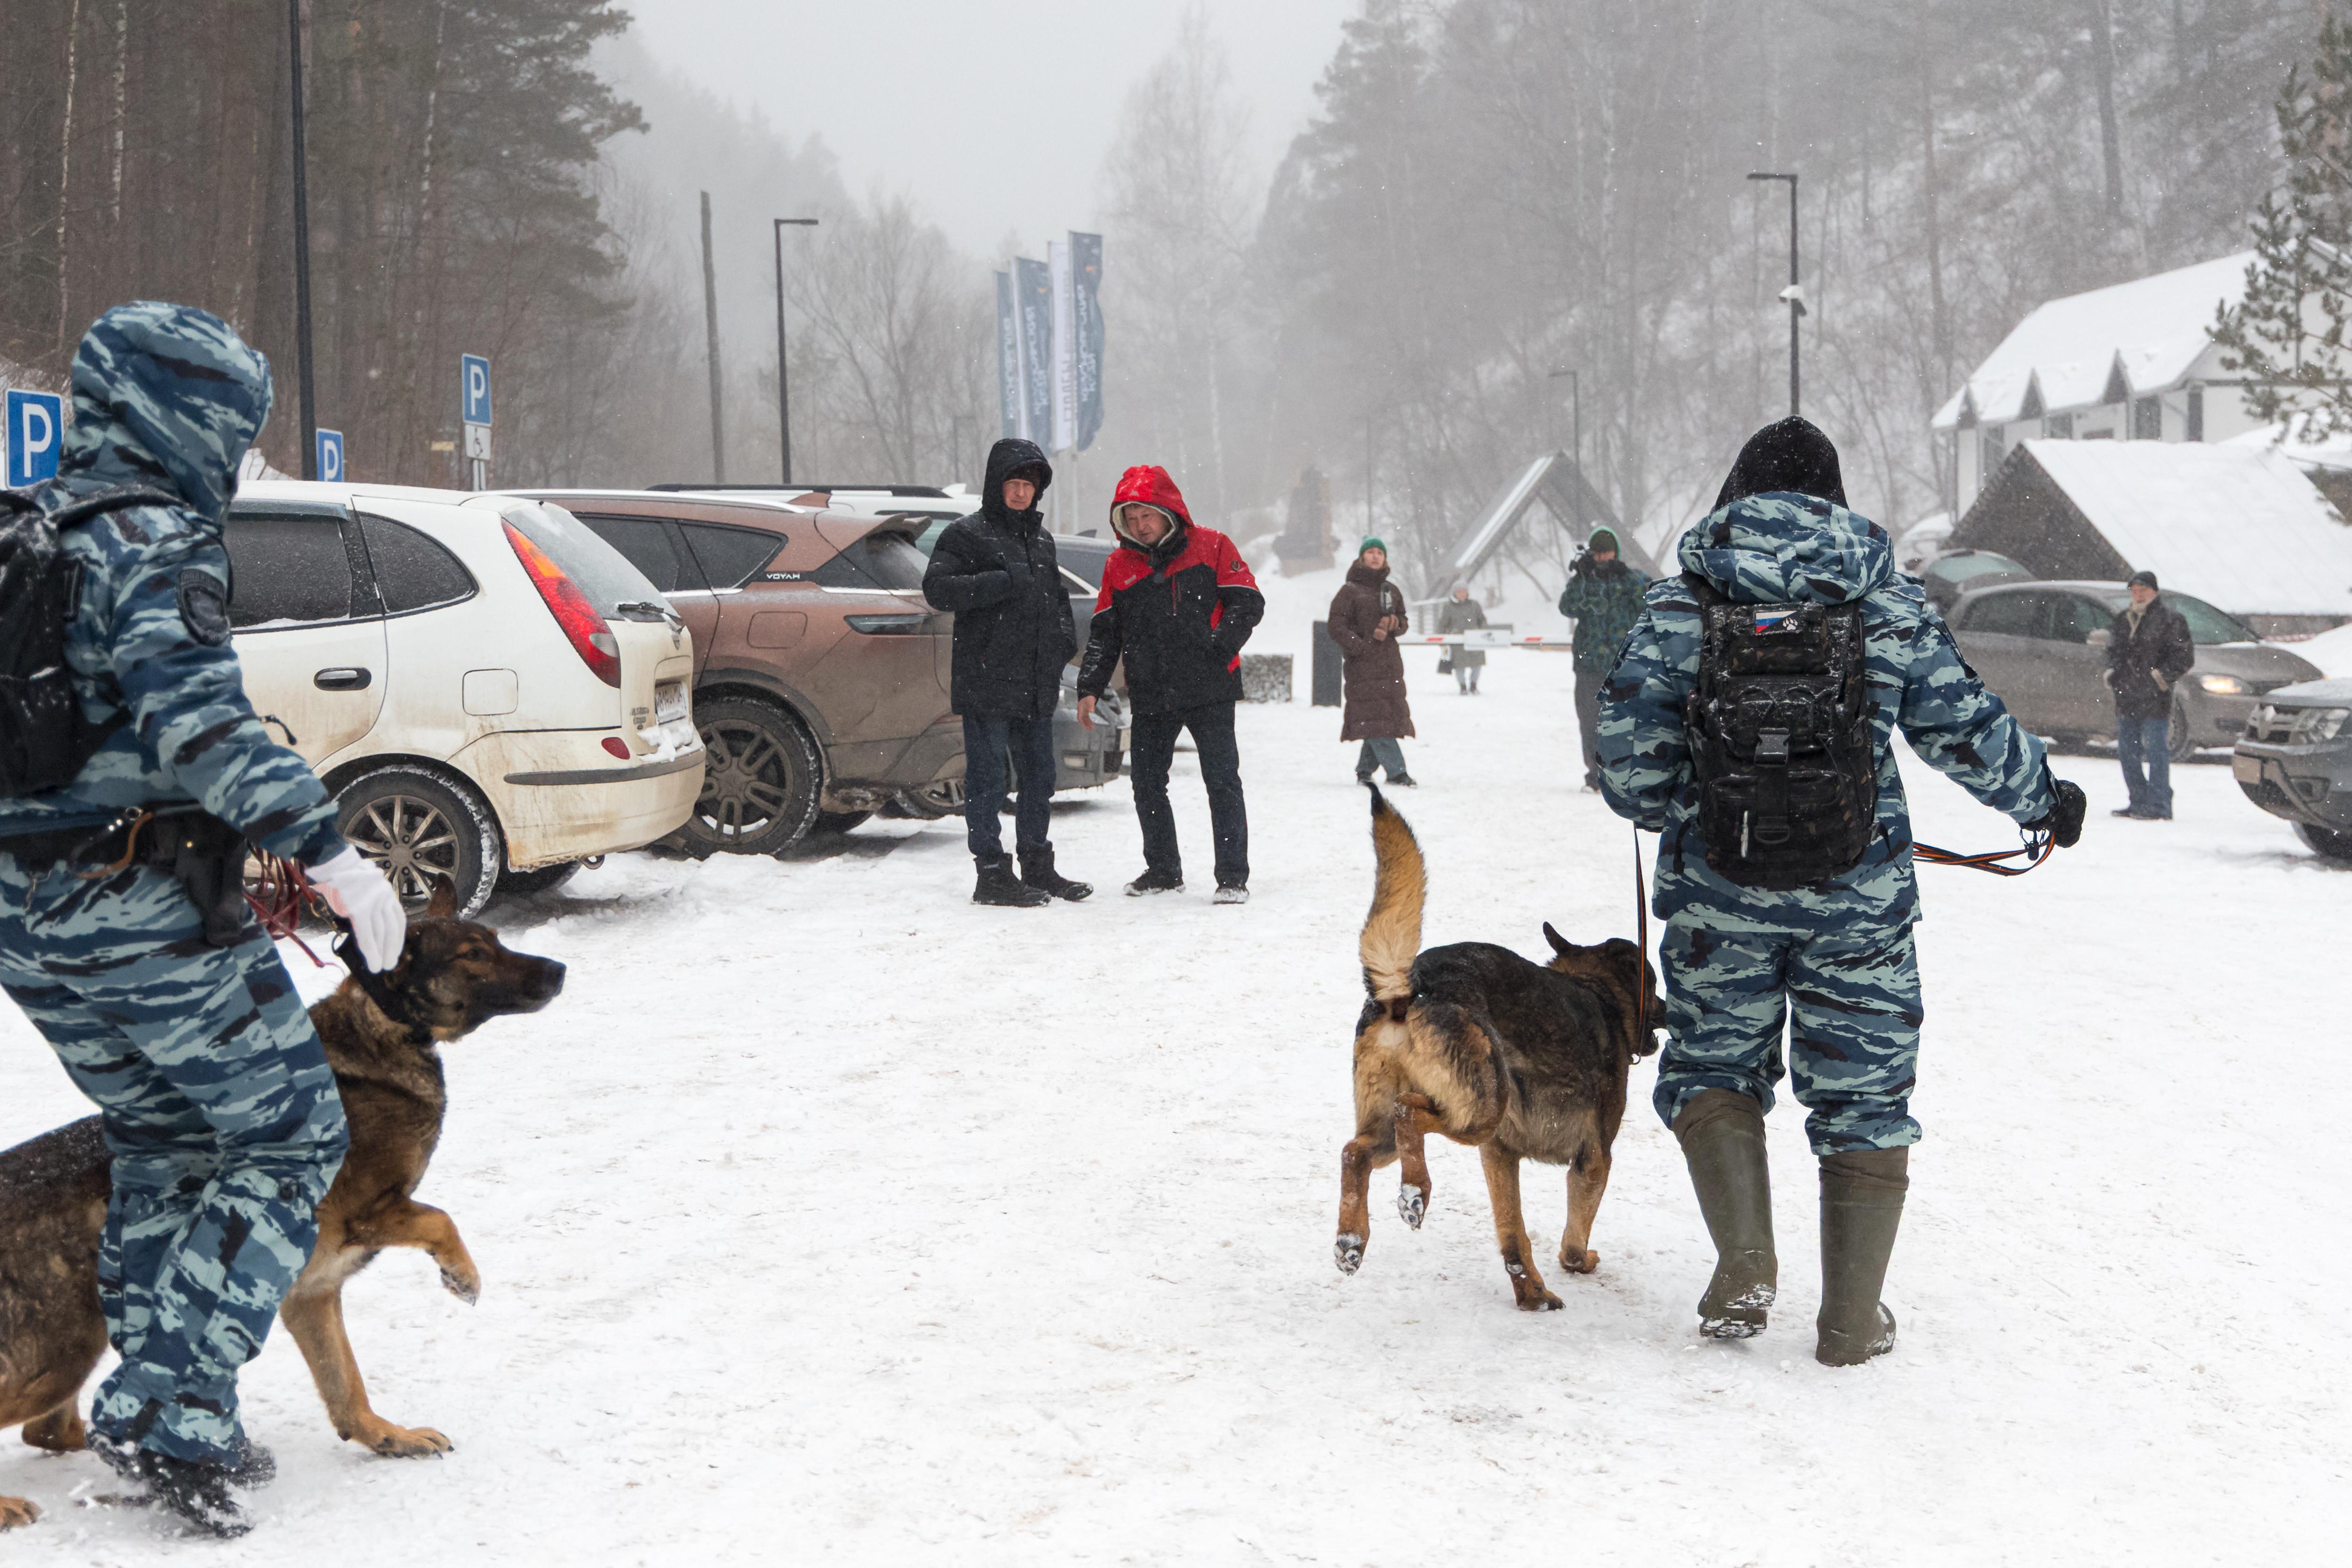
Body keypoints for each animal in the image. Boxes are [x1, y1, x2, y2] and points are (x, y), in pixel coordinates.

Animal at [0, 880, 564, 1529]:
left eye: (496, 941)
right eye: (474, 954)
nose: (560, 970)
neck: (379, 1029)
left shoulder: (313, 1295)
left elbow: (347, 1388)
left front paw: (386, 1437)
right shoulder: (373, 1213)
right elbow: (439, 1218)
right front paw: (461, 1275)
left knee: (52, 1431)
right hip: (59, 1352)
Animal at [1335, 786, 1659, 1310]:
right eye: (1654, 985)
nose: (1667, 1014)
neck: (1597, 990)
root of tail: (1408, 989)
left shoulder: (1500, 1155)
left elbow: (1512, 1235)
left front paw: (1531, 1294)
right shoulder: (1594, 1160)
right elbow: (1574, 1240)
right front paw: (1576, 1265)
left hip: (1403, 1122)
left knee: (1355, 1151)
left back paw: (1352, 1238)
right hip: (1482, 1107)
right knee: (1408, 1112)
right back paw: (1416, 1190)